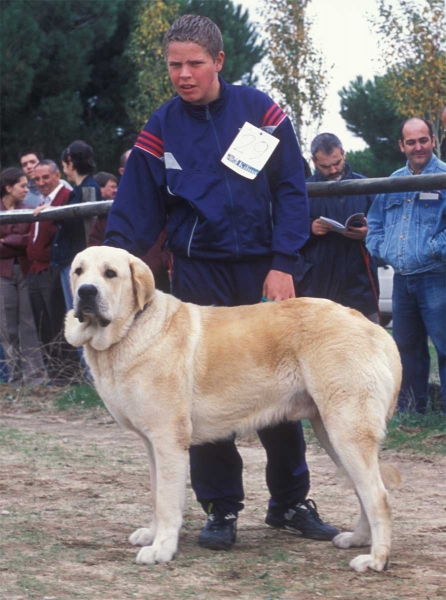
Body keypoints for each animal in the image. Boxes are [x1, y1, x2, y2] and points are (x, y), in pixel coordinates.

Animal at [64, 247, 402, 572]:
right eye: (78, 271)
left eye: (110, 273)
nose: (86, 292)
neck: (131, 328)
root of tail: (373, 327)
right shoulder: (151, 444)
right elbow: (156, 495)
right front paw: (152, 535)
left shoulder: (168, 442)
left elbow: (168, 502)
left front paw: (161, 549)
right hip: (331, 433)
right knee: (364, 490)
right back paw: (358, 539)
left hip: (346, 431)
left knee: (379, 497)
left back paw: (376, 560)